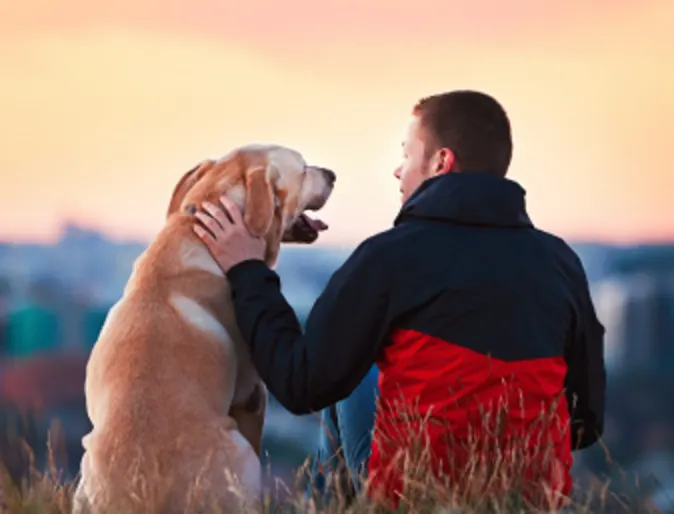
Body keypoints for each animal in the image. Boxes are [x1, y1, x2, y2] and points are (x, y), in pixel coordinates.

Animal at [72, 143, 334, 512]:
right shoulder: (253, 394)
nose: (332, 174)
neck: (197, 231)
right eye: (304, 167)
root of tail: (143, 499)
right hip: (240, 453)